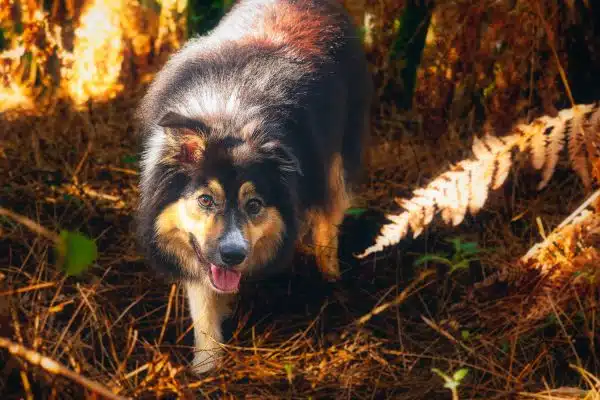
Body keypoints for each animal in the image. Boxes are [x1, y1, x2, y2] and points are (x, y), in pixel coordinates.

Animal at [135, 0, 370, 376]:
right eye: (205, 200)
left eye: (254, 205)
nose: (234, 255)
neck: (229, 118)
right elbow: (203, 304)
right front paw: (206, 365)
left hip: (340, 156)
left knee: (329, 220)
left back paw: (331, 278)